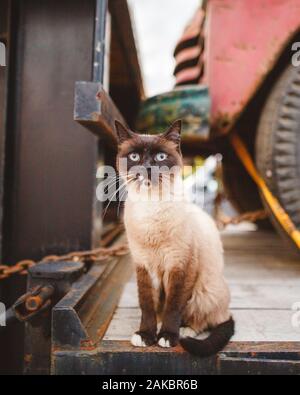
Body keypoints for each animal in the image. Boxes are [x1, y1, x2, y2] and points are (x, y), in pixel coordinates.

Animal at [115, 119, 234, 358]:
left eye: (161, 157)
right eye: (134, 156)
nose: (147, 168)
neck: (150, 208)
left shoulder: (180, 266)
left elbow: (174, 306)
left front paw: (167, 337)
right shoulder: (144, 266)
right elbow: (147, 305)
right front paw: (145, 336)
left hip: (205, 290)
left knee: (206, 319)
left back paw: (184, 330)